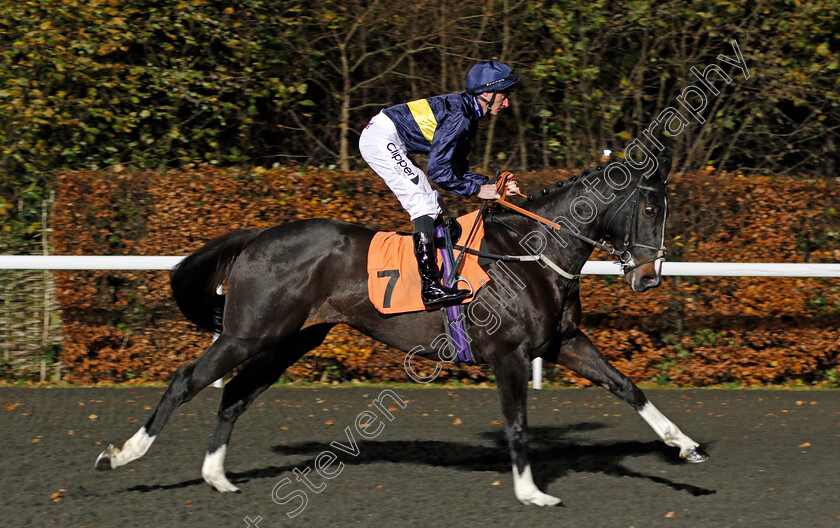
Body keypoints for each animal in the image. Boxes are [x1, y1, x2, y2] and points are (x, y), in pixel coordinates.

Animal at [93, 145, 708, 508]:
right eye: (649, 209)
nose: (650, 277)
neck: (532, 251)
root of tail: (258, 235)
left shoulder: (562, 343)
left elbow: (627, 386)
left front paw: (684, 446)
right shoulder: (508, 354)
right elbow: (517, 426)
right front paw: (532, 492)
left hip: (291, 338)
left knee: (236, 394)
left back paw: (217, 475)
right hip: (248, 332)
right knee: (186, 381)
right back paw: (123, 455)